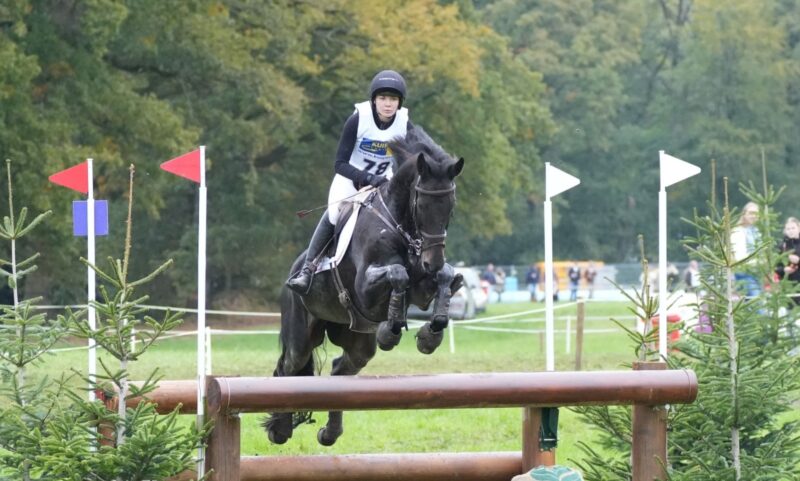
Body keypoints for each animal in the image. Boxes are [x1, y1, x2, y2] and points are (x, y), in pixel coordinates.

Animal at [268, 125, 466, 444]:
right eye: (421, 203)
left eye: (451, 206)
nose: (432, 261)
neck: (399, 224)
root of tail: (294, 268)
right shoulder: (364, 289)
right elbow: (398, 274)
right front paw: (391, 330)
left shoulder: (423, 289)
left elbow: (447, 278)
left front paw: (429, 335)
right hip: (302, 334)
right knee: (288, 366)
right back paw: (279, 429)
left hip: (357, 338)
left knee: (341, 370)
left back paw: (329, 433)